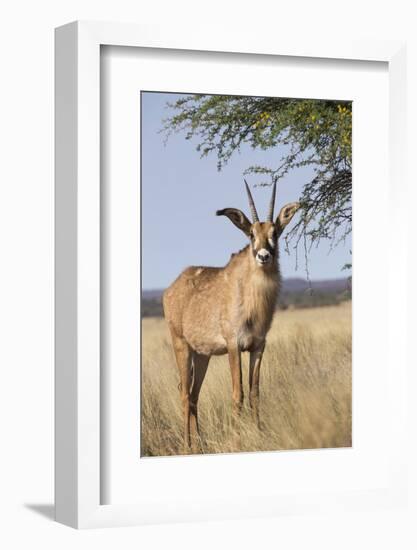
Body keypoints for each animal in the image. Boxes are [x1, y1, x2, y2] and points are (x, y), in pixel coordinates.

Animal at [162, 182, 300, 452]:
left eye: (275, 232)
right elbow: (238, 394)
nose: (264, 256)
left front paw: (259, 434)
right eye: (251, 234)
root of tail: (171, 288)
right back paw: (187, 446)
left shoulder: (258, 346)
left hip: (202, 355)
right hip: (181, 345)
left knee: (194, 394)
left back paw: (200, 444)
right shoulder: (234, 345)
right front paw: (237, 441)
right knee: (184, 393)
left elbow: (255, 392)